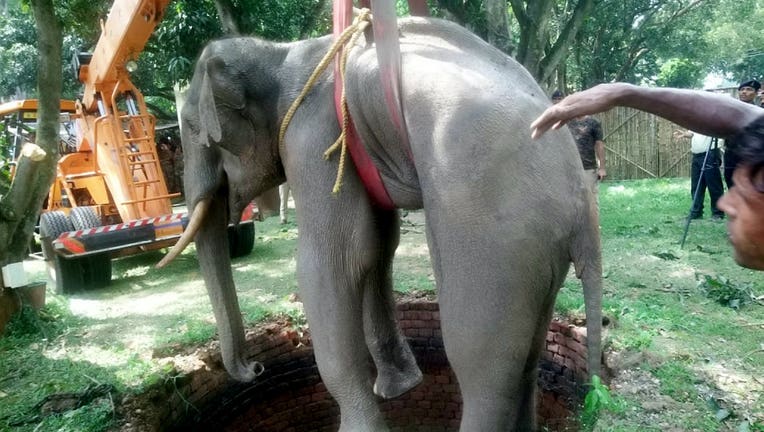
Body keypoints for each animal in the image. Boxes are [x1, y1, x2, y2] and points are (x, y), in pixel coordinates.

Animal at [158, 15, 602, 431]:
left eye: (194, 130)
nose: (254, 370)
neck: (282, 54)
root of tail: (582, 205)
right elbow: (374, 246)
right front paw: (398, 388)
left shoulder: (313, 137)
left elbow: (331, 263)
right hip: (540, 251)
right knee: (528, 354)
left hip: (500, 233)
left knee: (480, 357)